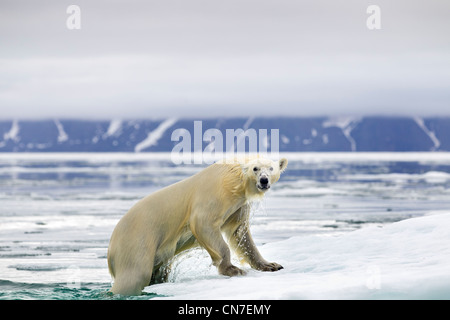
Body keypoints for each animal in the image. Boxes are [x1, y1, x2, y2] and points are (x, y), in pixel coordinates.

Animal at [107, 156, 286, 296]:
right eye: (255, 169)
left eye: (271, 168)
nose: (264, 180)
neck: (232, 178)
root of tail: (110, 248)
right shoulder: (215, 193)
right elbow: (203, 223)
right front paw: (234, 269)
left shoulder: (238, 205)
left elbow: (239, 233)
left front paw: (271, 265)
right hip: (137, 240)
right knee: (135, 275)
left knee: (157, 273)